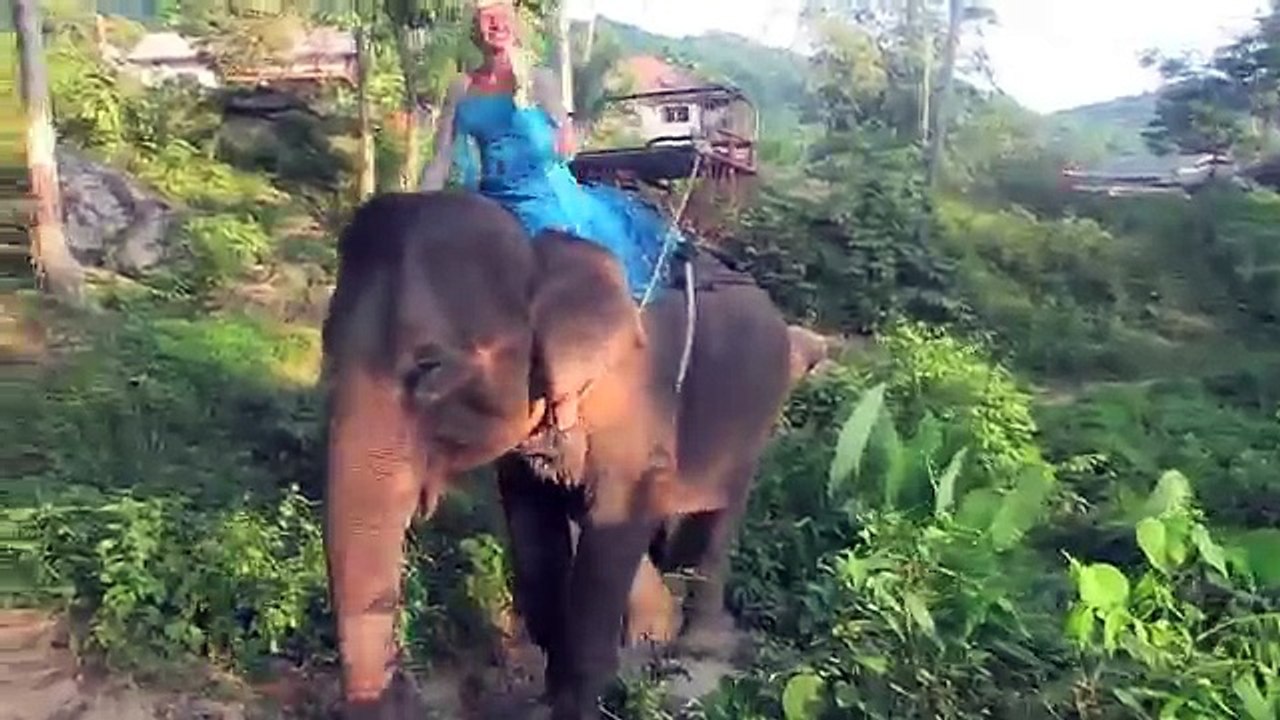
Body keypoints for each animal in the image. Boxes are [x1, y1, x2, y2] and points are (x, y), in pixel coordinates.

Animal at [320, 190, 794, 720]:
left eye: (430, 366)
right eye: (326, 344)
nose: (401, 688)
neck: (541, 250)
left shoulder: (637, 399)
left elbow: (615, 524)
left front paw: (577, 704)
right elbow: (534, 532)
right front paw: (548, 695)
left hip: (757, 410)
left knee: (716, 520)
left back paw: (697, 648)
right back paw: (653, 637)